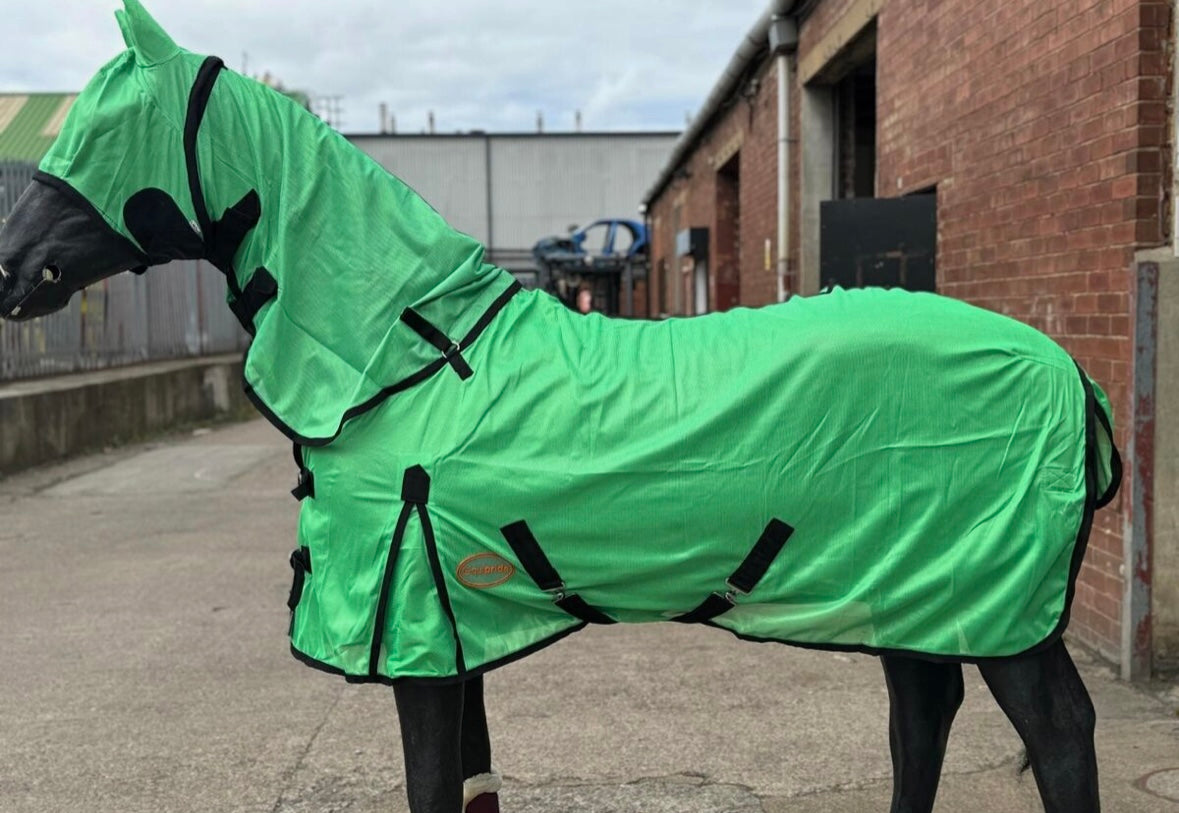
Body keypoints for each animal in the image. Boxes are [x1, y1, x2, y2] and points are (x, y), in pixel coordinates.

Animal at [0, 4, 1122, 812]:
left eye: (103, 136)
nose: (8, 267)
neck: (404, 359)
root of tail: (1069, 371)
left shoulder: (416, 634)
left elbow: (432, 790)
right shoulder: (449, 633)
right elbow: (471, 786)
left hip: (990, 601)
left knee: (1058, 732)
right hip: (915, 582)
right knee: (920, 714)